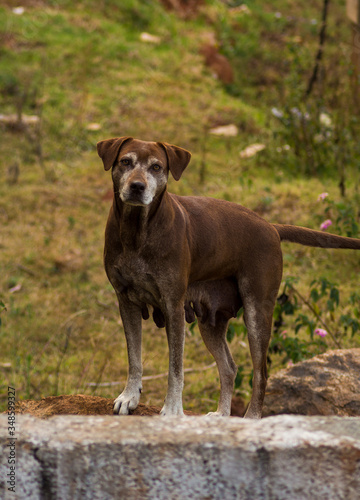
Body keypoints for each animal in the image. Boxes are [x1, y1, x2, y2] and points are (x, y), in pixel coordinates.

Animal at [97, 137, 360, 418]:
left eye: (156, 167)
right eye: (126, 161)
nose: (137, 187)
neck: (137, 231)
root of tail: (272, 227)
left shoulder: (172, 306)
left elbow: (175, 369)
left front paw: (172, 410)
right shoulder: (126, 301)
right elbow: (134, 357)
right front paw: (129, 396)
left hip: (257, 314)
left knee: (261, 374)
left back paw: (251, 418)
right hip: (210, 322)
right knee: (229, 368)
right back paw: (222, 414)